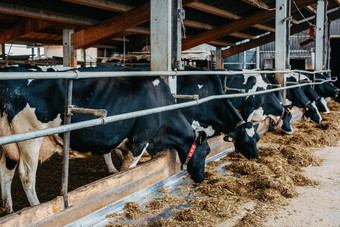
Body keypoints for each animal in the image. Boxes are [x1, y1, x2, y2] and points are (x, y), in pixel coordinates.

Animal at [0, 65, 211, 213]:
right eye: (206, 151)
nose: (202, 177)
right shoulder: (140, 140)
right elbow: (128, 170)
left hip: (10, 143)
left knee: (6, 173)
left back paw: (8, 208)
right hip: (30, 138)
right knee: (27, 176)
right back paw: (36, 206)